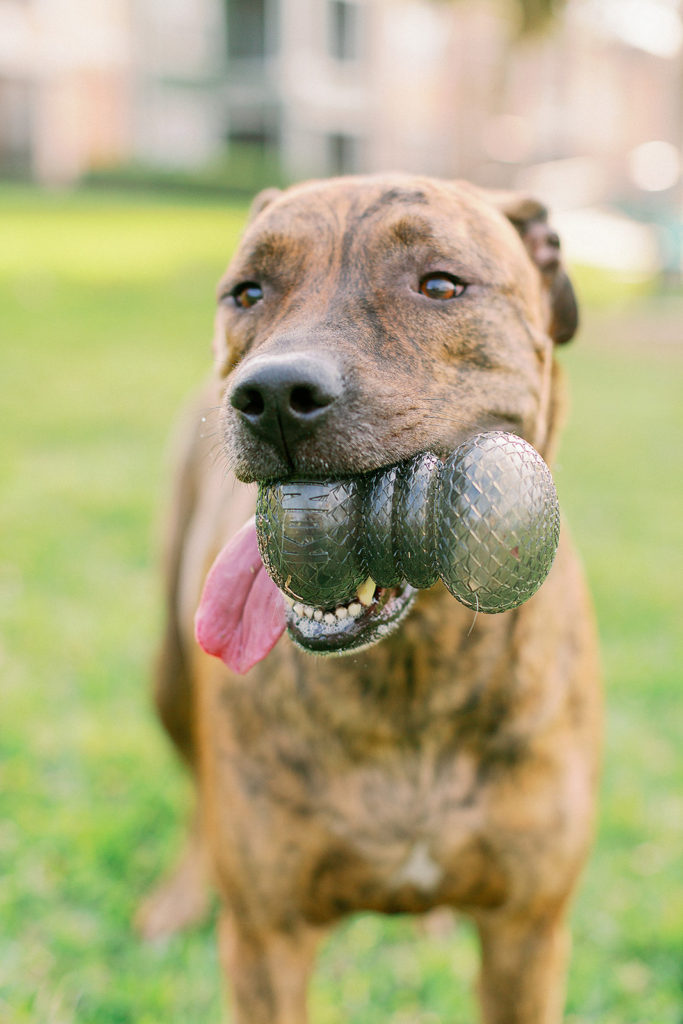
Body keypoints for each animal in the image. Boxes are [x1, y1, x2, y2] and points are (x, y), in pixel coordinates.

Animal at [137, 178, 598, 1024]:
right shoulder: (266, 941)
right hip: (168, 674)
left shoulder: (527, 934)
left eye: (440, 285)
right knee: (192, 788)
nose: (272, 394)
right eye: (247, 292)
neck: (411, 675)